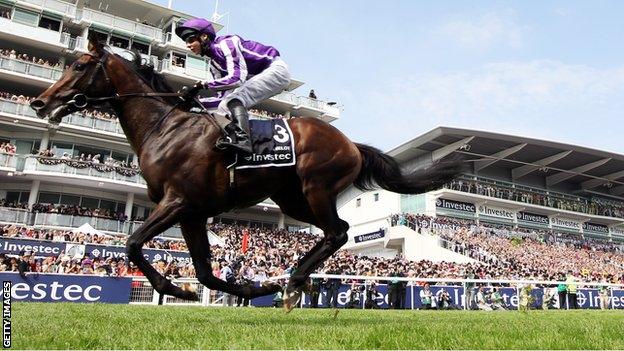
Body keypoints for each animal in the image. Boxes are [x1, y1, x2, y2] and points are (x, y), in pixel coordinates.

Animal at [31, 37, 466, 312]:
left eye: (81, 65)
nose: (40, 102)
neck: (165, 128)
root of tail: (351, 144)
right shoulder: (192, 213)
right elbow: (205, 273)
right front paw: (250, 286)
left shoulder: (178, 202)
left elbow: (134, 244)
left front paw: (173, 287)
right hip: (293, 199)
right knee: (337, 230)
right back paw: (290, 280)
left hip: (316, 186)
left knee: (338, 232)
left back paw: (294, 279)